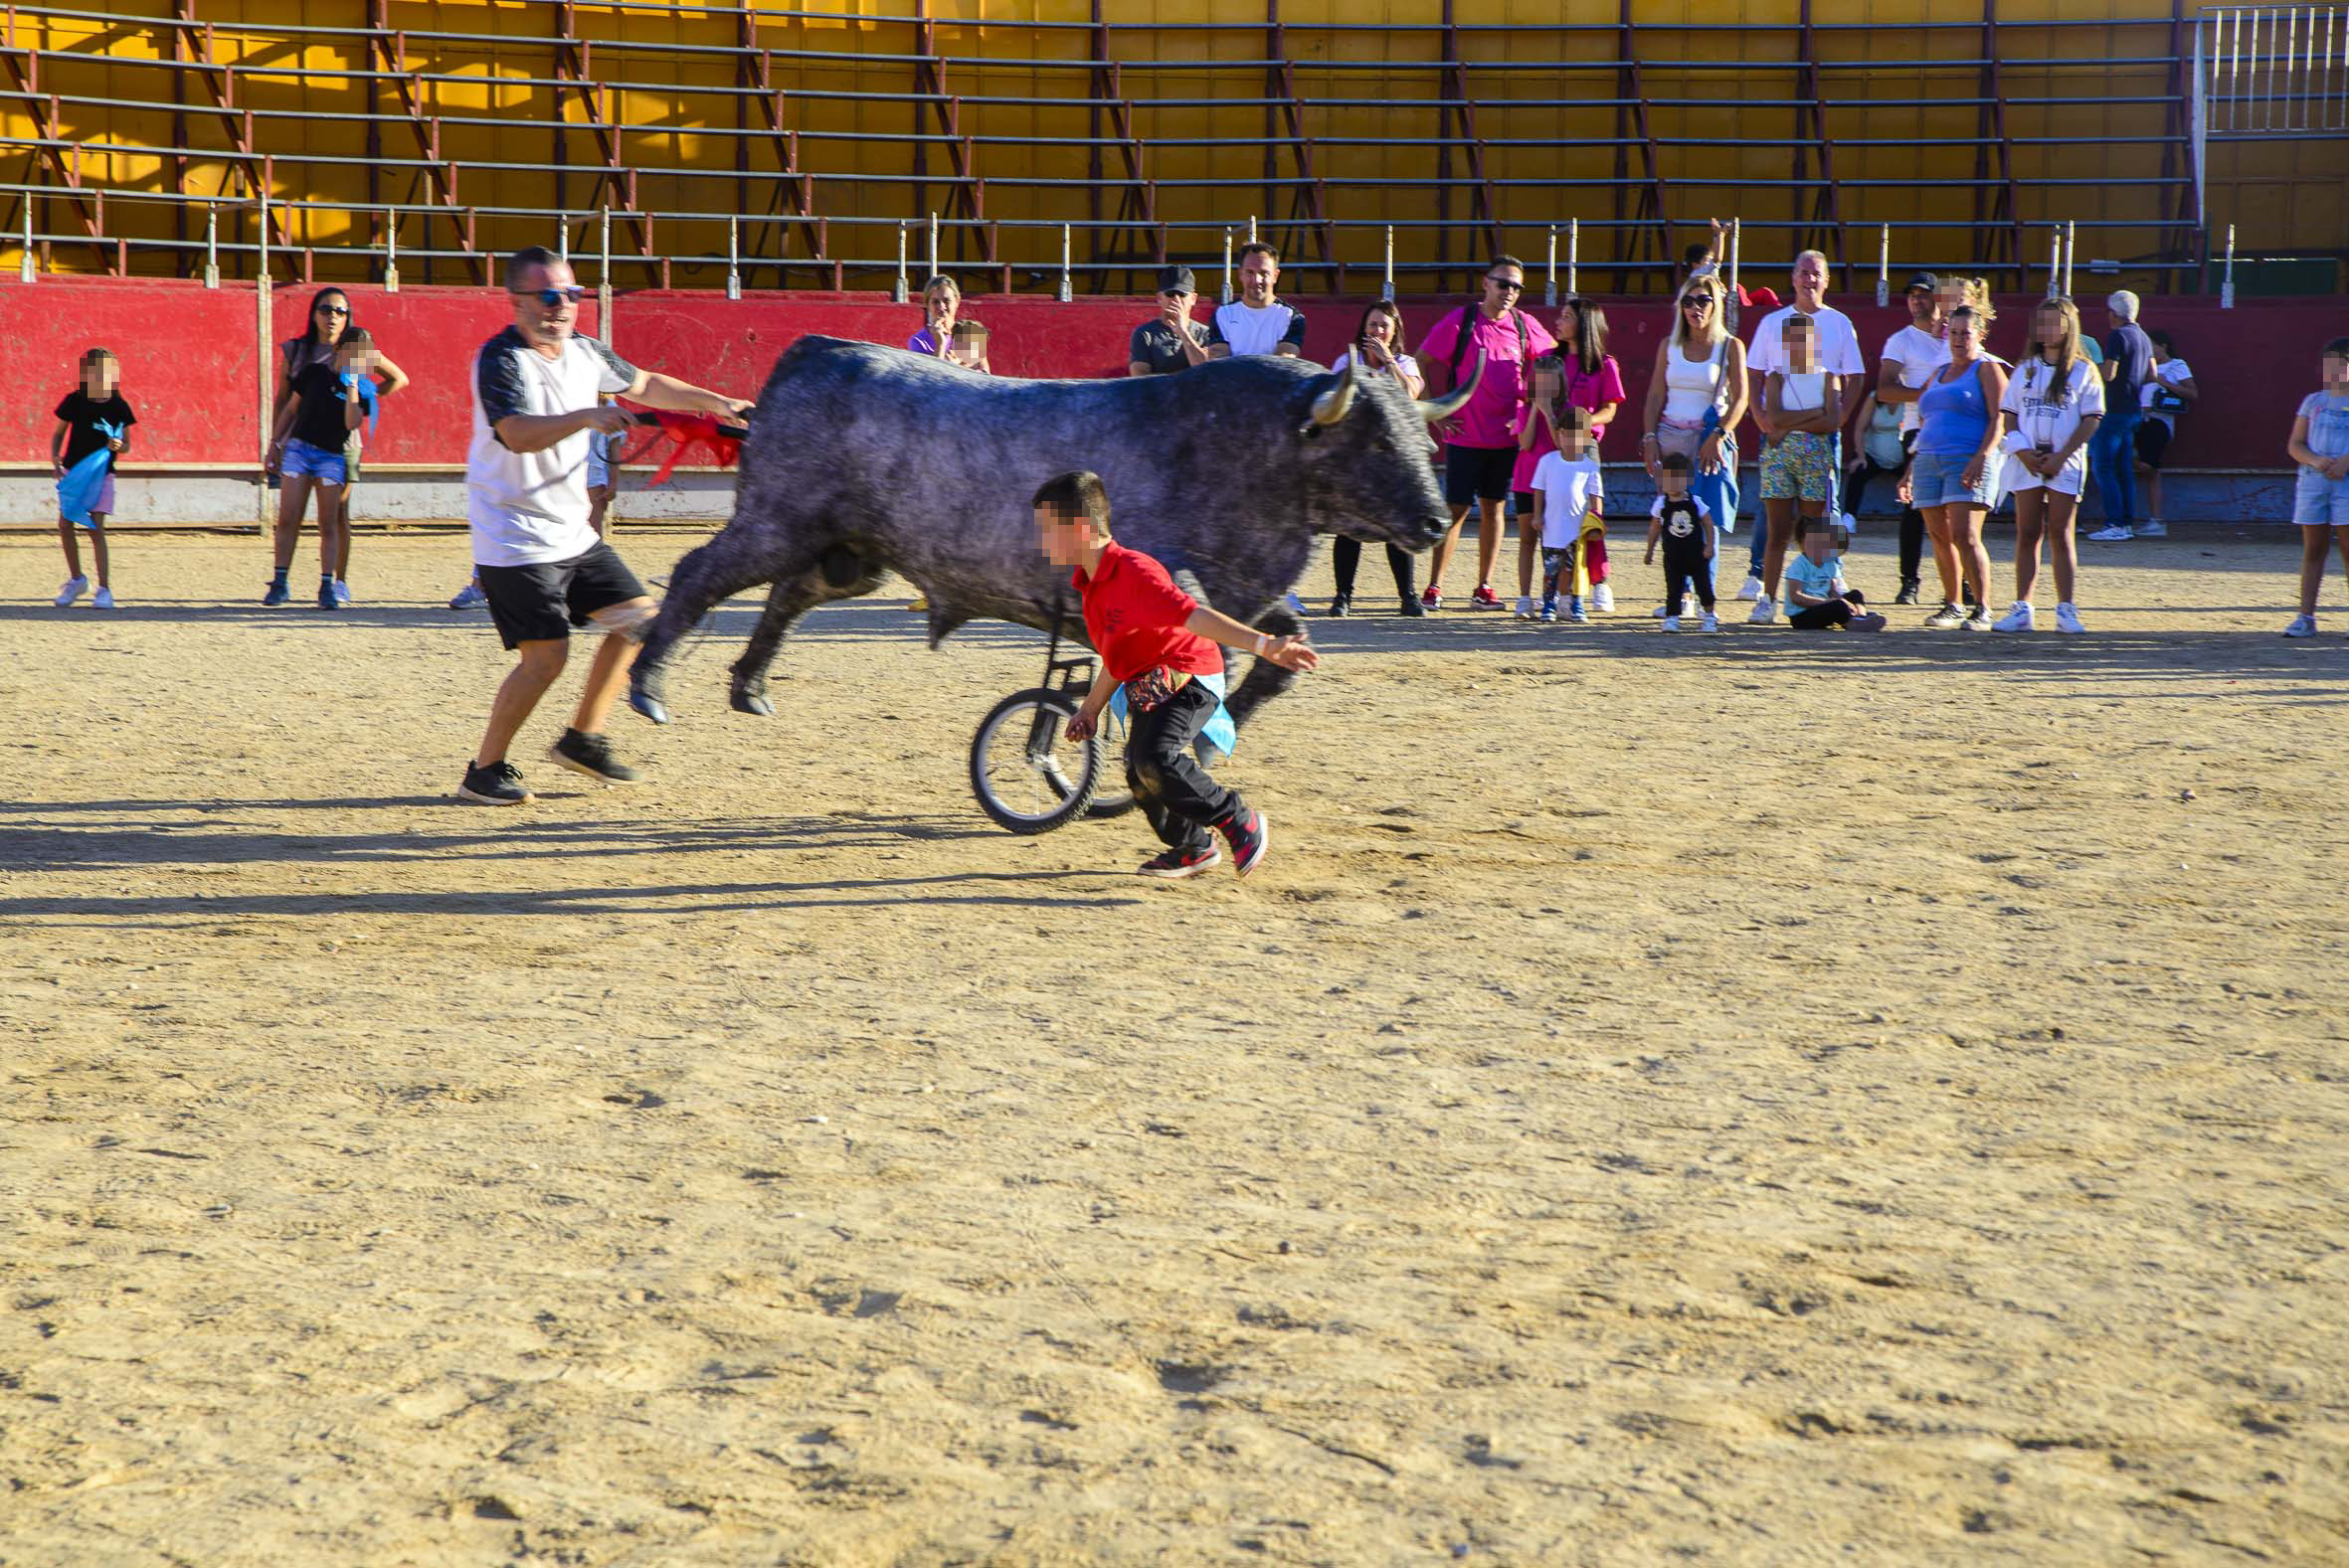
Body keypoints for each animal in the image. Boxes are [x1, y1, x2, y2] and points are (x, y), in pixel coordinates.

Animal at [625, 337, 1465, 727]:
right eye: (1376, 441)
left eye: (1417, 435)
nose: (1433, 520)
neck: (1256, 446)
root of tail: (810, 353)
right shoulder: (1183, 586)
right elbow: (1212, 662)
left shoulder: (1247, 593)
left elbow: (1280, 652)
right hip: (776, 519)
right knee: (700, 574)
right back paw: (649, 687)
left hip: (849, 553)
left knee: (789, 594)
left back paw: (751, 686)